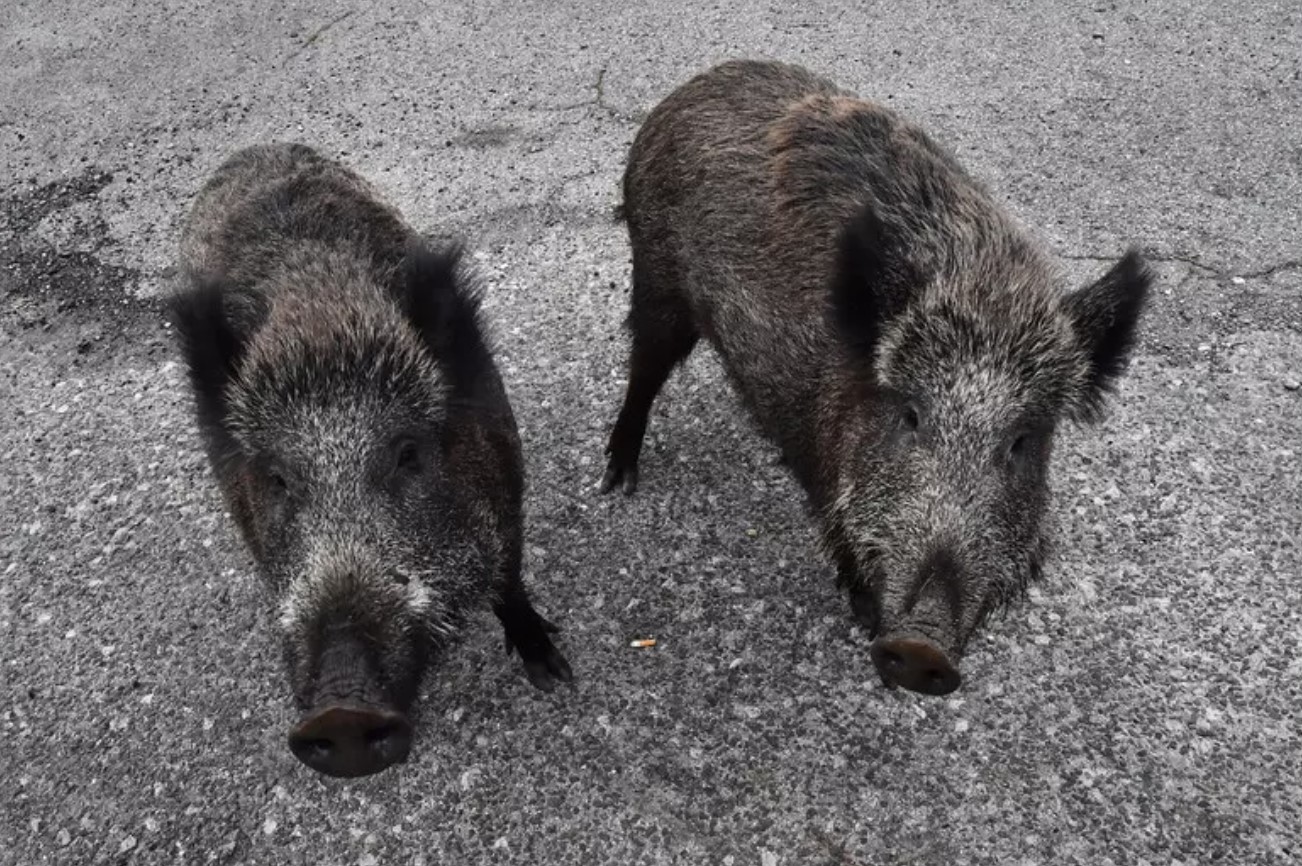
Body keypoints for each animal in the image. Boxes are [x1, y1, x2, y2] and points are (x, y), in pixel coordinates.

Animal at [169, 143, 572, 777]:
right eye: (278, 478)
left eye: (407, 454)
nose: (341, 713)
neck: (322, 325)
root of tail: (250, 149)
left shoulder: (510, 496)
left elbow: (510, 583)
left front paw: (554, 676)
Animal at [600, 61, 1150, 695]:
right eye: (910, 415)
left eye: (1020, 441)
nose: (920, 646)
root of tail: (685, 91)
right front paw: (864, 616)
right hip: (655, 275)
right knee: (644, 368)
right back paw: (617, 480)